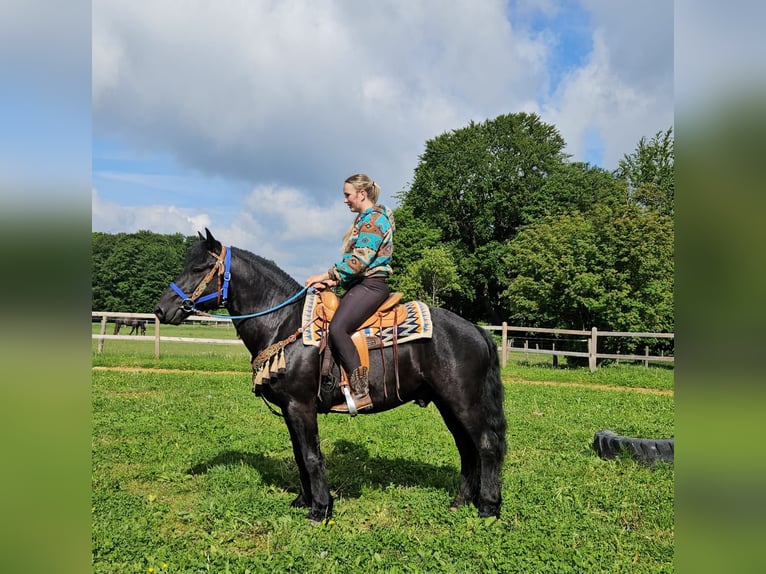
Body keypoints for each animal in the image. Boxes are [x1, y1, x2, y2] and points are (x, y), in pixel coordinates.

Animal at [154, 229, 506, 522]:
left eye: (199, 268)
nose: (160, 309)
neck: (283, 323)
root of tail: (477, 330)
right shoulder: (289, 410)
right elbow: (299, 455)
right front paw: (303, 501)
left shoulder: (301, 406)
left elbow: (312, 457)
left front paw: (320, 510)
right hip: (447, 404)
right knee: (467, 449)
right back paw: (461, 501)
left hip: (463, 402)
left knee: (486, 445)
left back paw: (488, 507)